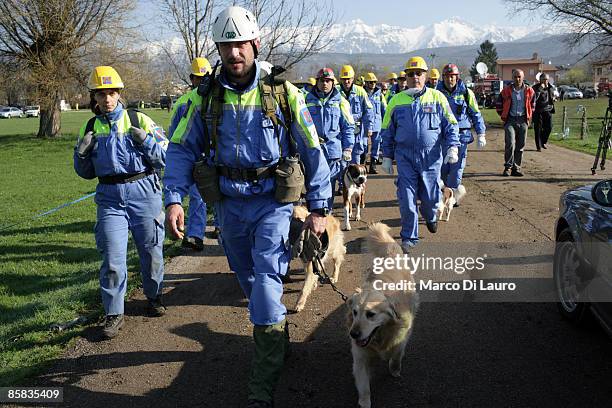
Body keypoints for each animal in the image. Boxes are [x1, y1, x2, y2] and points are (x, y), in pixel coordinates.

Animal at [346, 223, 418, 408]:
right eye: (354, 312)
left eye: (371, 314)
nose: (353, 334)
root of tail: (390, 253)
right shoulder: (360, 357)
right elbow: (364, 385)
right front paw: (365, 401)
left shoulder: (401, 338)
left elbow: (397, 355)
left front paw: (395, 369)